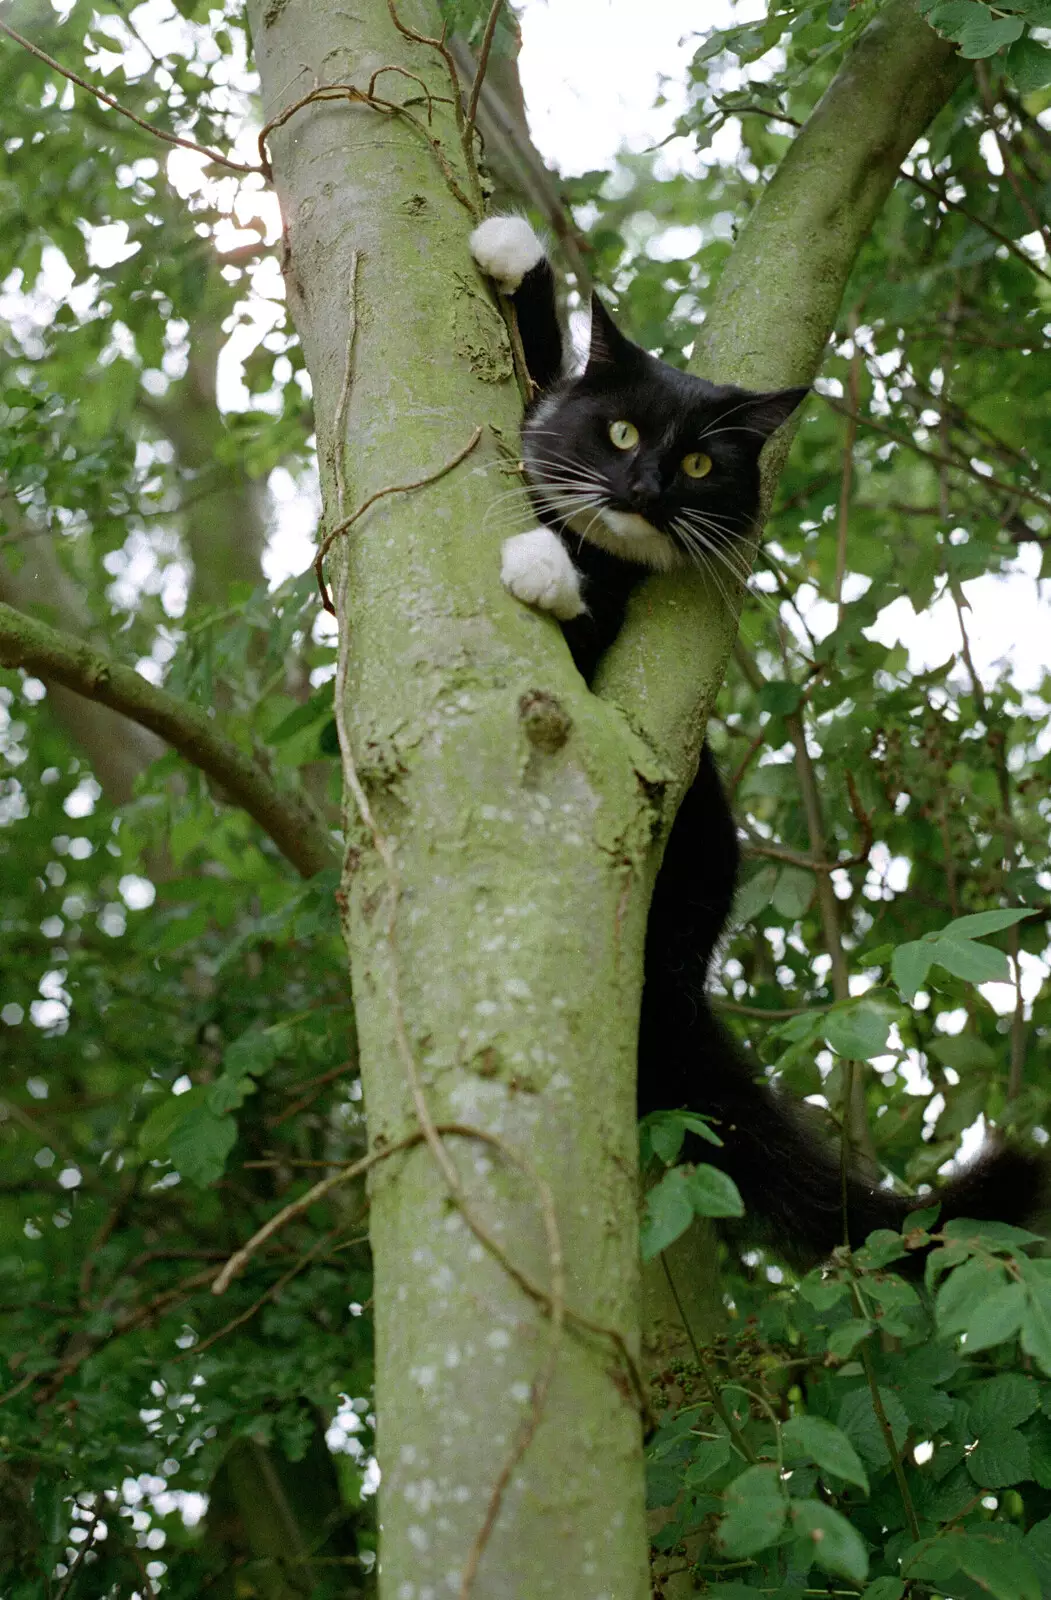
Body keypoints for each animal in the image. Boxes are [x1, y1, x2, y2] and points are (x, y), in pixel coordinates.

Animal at [470, 216, 1043, 1260]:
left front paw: (545, 566)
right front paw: (511, 249)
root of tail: (688, 980)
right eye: (621, 433)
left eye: (700, 466)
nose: (643, 487)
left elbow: (584, 615)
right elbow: (534, 372)